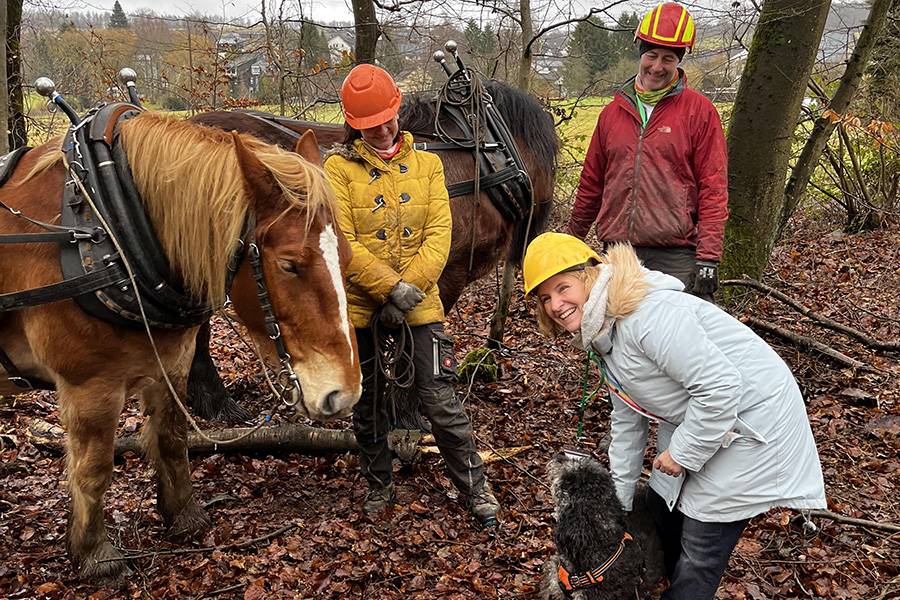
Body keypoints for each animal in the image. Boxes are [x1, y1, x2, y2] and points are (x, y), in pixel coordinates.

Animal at [1, 112, 364, 576]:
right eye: (289, 265)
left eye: (348, 257)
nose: (345, 393)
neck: (106, 225)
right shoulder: (89, 385)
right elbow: (93, 468)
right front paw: (95, 554)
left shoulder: (171, 364)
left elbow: (172, 440)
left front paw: (184, 517)